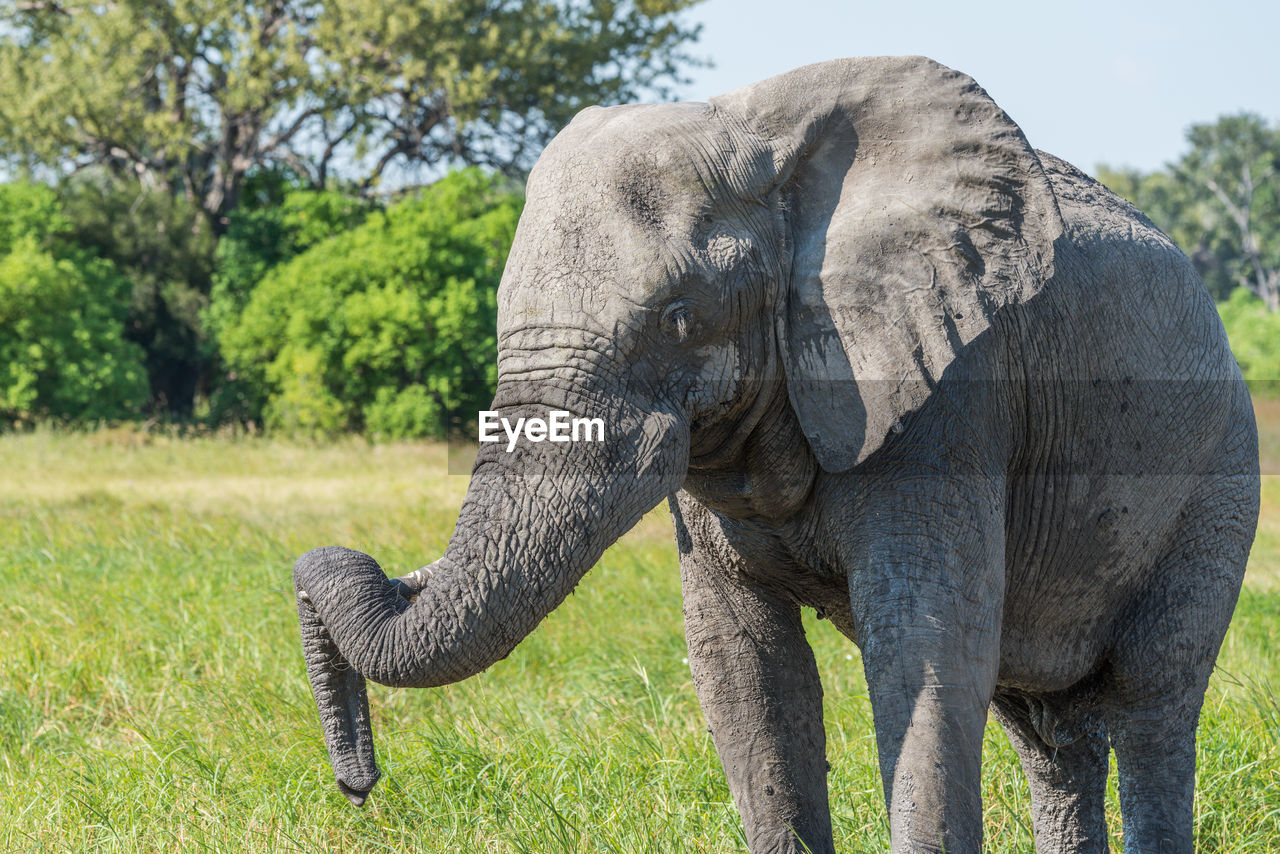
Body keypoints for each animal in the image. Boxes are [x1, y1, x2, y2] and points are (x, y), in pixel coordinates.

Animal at [293, 56, 1259, 850]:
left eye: (679, 317)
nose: (359, 785)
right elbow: (744, 667)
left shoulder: (951, 394)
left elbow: (925, 651)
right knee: (1048, 733)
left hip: (1219, 477)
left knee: (1151, 701)